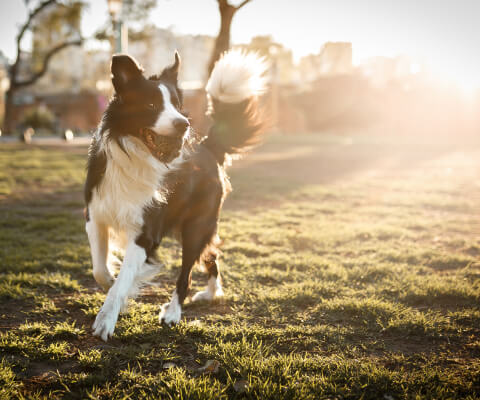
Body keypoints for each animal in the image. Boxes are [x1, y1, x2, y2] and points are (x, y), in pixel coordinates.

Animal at [84, 48, 268, 340]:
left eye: (177, 105)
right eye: (151, 105)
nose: (184, 124)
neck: (135, 157)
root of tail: (208, 147)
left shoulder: (146, 234)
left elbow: (123, 279)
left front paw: (107, 318)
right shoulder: (96, 216)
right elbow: (100, 271)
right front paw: (116, 289)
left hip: (196, 225)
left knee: (187, 274)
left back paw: (173, 313)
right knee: (212, 256)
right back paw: (212, 293)